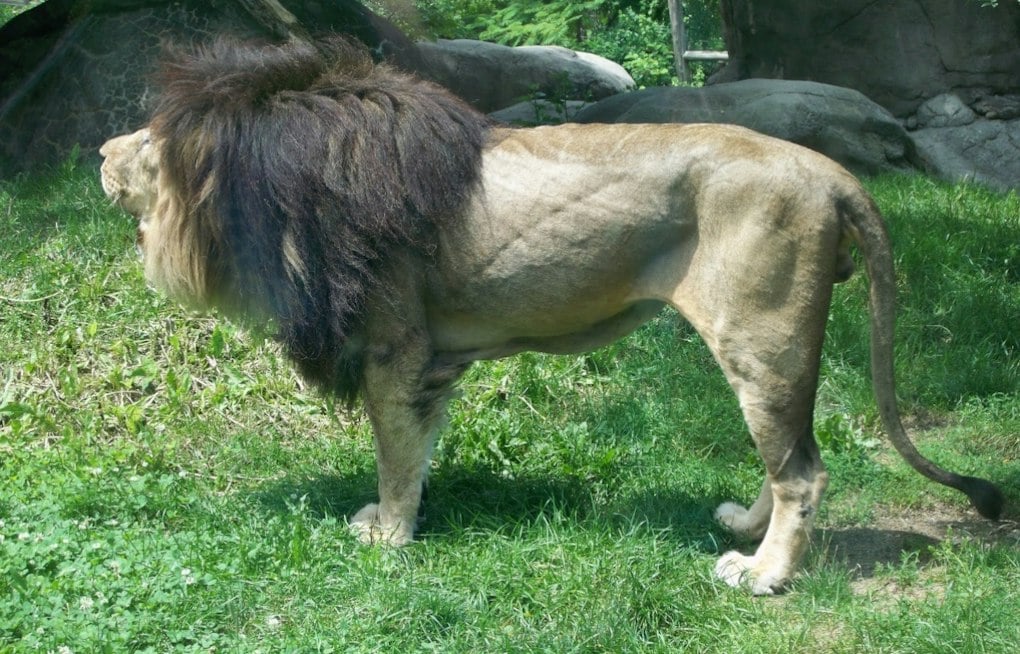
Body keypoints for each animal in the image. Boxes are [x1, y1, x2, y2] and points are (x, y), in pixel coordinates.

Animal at [99, 39, 1003, 595]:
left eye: (148, 145)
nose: (101, 154)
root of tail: (828, 170)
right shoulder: (429, 361)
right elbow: (417, 451)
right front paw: (395, 518)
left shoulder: (394, 349)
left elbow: (392, 456)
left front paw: (389, 537)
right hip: (768, 347)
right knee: (789, 454)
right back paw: (744, 526)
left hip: (761, 333)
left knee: (804, 470)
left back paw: (761, 573)